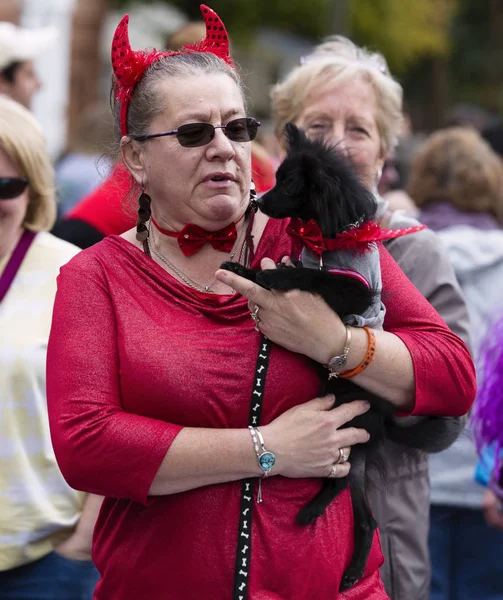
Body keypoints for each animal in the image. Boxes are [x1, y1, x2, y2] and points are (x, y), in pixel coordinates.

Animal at [222, 123, 462, 592]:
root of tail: (384, 419)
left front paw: (257, 275)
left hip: (348, 426)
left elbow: (304, 275)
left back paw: (312, 514)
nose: (258, 201)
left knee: (342, 488)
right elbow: (300, 265)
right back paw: (349, 568)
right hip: (355, 457)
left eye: (289, 185)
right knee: (366, 518)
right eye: (277, 178)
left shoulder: (351, 288)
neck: (327, 236)